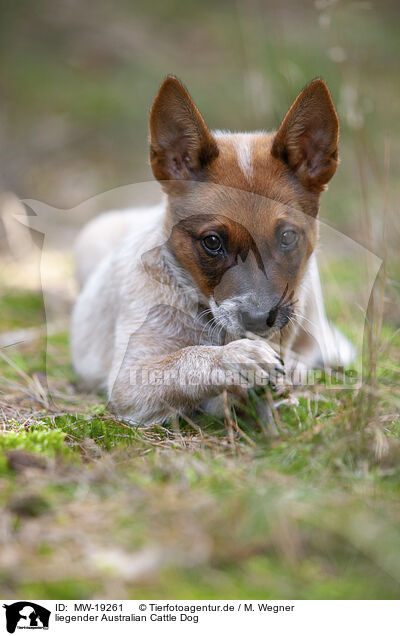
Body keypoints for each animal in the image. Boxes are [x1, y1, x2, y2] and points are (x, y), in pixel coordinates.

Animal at [71, 76, 354, 422]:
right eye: (213, 242)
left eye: (287, 237)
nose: (259, 319)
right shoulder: (129, 379)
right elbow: (187, 360)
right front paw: (236, 359)